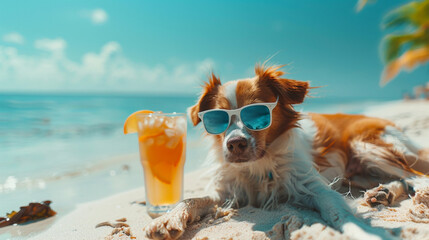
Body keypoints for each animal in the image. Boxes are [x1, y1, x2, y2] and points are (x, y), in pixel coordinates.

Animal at [145, 64, 428, 240]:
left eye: (257, 113)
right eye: (216, 119)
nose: (234, 144)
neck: (259, 166)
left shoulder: (314, 187)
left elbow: (340, 213)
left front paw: (363, 233)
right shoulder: (226, 192)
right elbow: (191, 199)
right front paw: (167, 219)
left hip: (368, 146)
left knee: (415, 176)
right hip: (359, 171)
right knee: (401, 178)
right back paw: (383, 192)